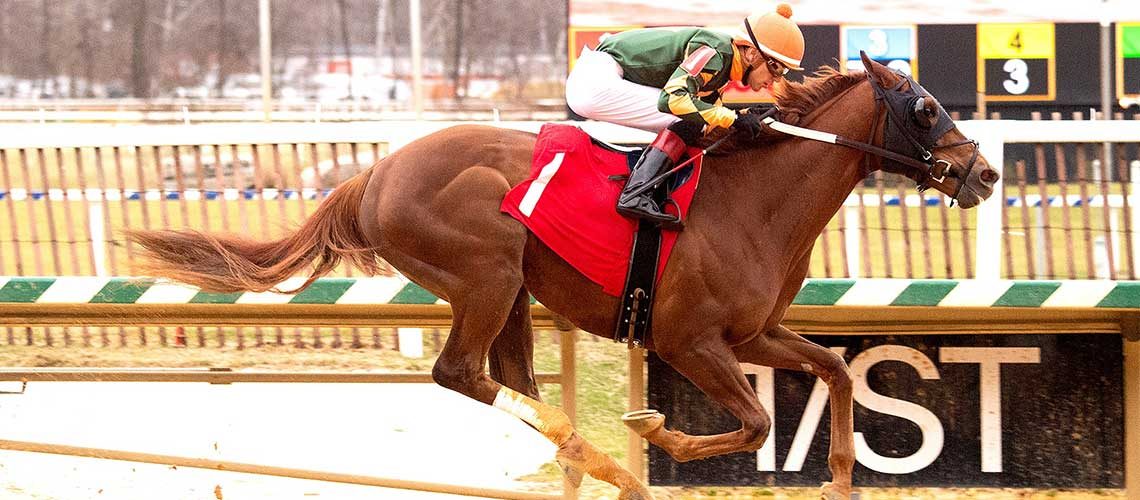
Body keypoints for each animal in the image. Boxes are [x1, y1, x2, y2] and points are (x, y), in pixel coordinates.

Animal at [126, 53, 999, 500]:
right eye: (925, 109)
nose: (984, 172)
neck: (753, 196)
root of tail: (375, 172)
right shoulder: (688, 340)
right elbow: (752, 422)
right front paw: (656, 432)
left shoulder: (756, 331)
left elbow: (837, 373)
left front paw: (840, 482)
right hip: (483, 272)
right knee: (459, 373)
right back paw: (611, 463)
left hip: (512, 291)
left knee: (508, 378)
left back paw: (584, 456)